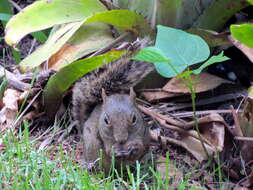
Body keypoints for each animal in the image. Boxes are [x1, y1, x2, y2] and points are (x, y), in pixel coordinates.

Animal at [72, 39, 153, 172]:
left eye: (134, 118)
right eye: (105, 120)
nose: (121, 139)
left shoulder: (143, 133)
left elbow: (140, 147)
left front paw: (133, 148)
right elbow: (109, 151)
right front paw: (115, 152)